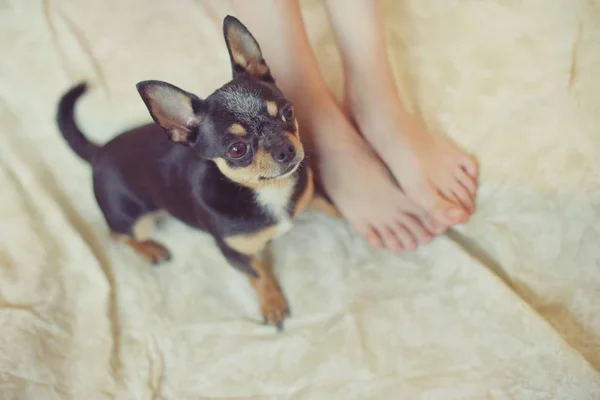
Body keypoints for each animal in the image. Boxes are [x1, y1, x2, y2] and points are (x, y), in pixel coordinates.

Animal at [55, 14, 338, 332]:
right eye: (237, 149)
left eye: (288, 112)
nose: (286, 150)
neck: (266, 191)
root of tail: (98, 152)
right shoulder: (235, 253)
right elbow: (258, 275)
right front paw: (272, 304)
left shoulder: (313, 197)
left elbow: (334, 209)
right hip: (133, 218)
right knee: (118, 234)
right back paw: (150, 250)